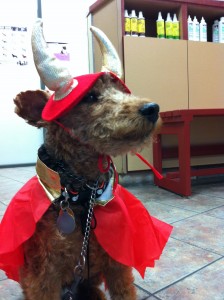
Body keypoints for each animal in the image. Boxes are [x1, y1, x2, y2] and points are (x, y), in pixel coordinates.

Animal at [0, 19, 172, 300]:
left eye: (120, 90)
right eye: (90, 97)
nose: (152, 109)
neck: (84, 196)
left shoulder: (118, 264)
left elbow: (124, 290)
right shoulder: (44, 276)